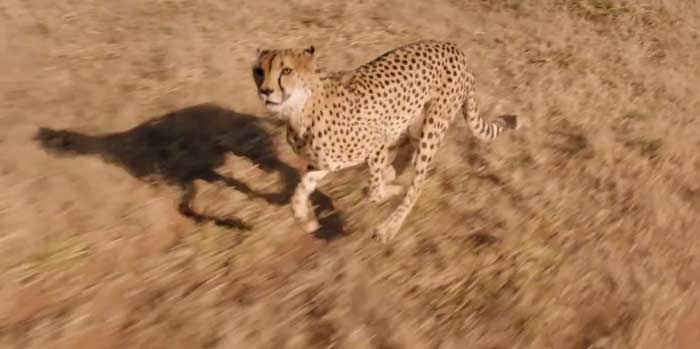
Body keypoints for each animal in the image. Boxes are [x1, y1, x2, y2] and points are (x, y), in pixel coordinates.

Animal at [252, 40, 520, 242]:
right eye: (259, 71)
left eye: (286, 71)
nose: (265, 91)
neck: (299, 110)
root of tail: (454, 47)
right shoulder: (323, 163)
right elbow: (298, 192)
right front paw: (306, 221)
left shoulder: (377, 143)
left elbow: (373, 192)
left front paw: (387, 190)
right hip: (410, 122)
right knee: (408, 150)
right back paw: (391, 175)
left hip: (433, 125)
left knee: (418, 182)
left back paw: (389, 228)